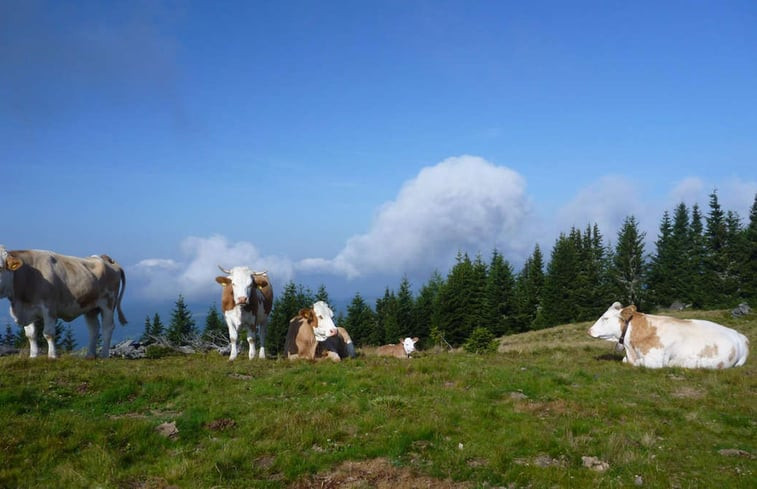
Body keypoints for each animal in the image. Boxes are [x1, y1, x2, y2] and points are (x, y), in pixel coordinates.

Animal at [588, 300, 748, 368]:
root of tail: (739, 336)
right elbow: (624, 360)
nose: (589, 330)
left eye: (605, 318)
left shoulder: (655, 360)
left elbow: (637, 363)